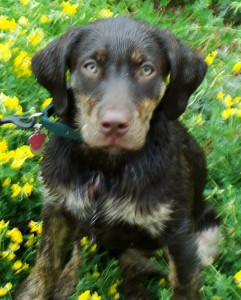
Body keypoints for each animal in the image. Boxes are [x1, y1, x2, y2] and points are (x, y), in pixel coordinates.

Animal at [13, 16, 220, 300]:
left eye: (146, 69)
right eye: (90, 66)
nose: (114, 124)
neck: (106, 167)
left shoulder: (178, 233)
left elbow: (184, 285)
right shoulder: (57, 207)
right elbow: (45, 266)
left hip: (206, 235)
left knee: (134, 259)